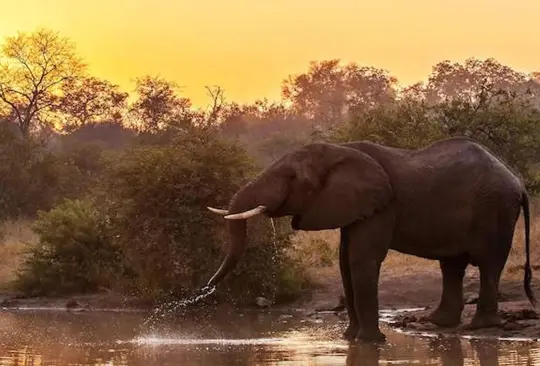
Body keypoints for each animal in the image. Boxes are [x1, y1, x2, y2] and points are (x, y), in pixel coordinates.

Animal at [205, 136, 532, 342]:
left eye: (292, 177)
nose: (206, 289)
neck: (338, 151)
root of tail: (518, 181)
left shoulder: (381, 206)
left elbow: (361, 260)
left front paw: (370, 342)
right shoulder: (352, 207)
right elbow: (344, 262)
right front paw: (350, 339)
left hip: (495, 208)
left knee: (489, 262)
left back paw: (481, 326)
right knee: (452, 264)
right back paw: (440, 323)